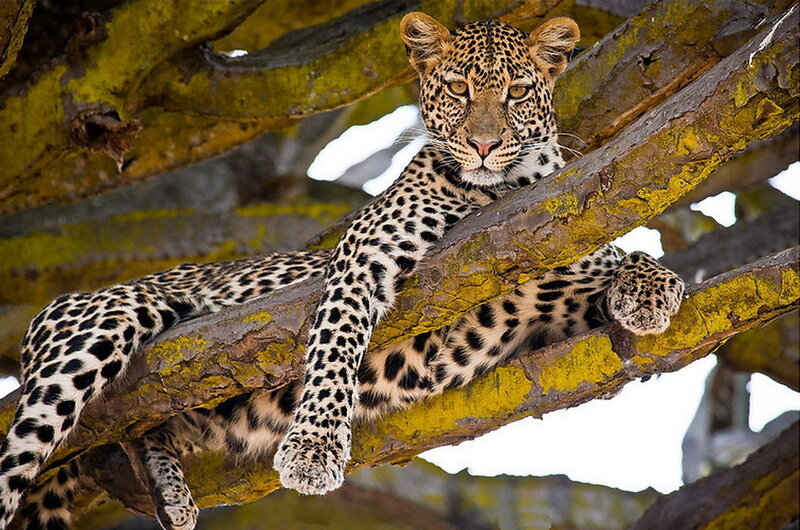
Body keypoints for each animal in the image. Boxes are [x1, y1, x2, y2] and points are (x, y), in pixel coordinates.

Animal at [0, 13, 685, 530]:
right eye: (458, 90)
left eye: (516, 93)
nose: (485, 145)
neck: (505, 189)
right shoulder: (366, 254)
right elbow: (337, 338)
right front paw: (313, 450)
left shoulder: (552, 280)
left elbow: (611, 257)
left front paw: (651, 287)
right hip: (95, 334)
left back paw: (169, 494)